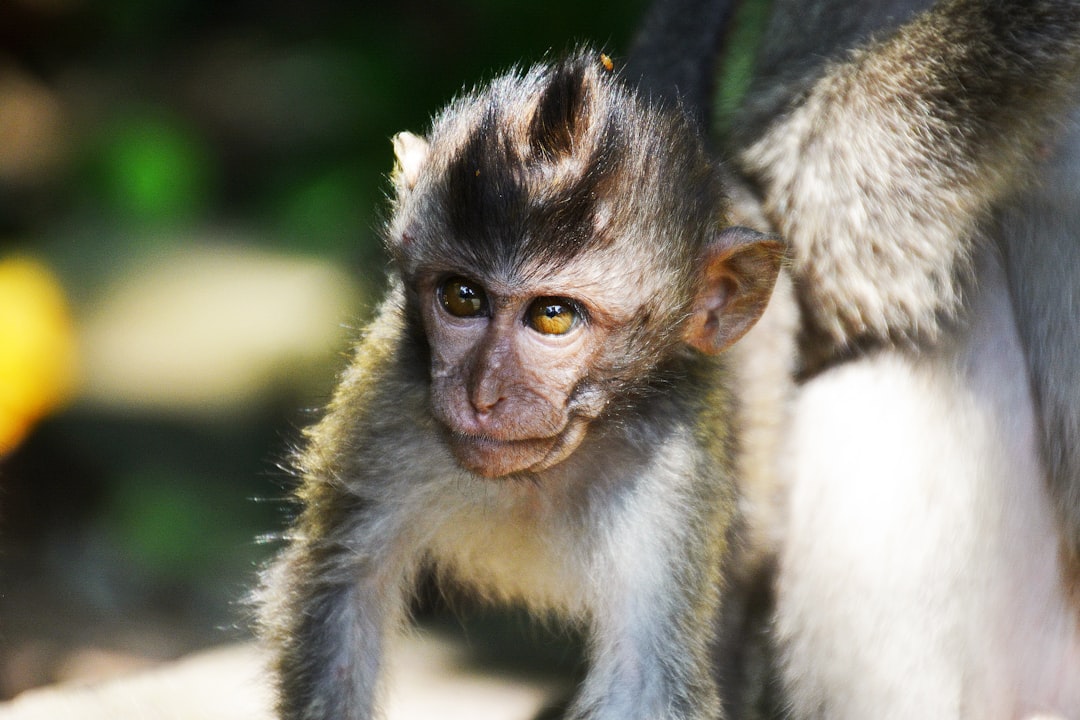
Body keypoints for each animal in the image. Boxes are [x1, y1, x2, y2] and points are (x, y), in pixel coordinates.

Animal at [261, 50, 786, 720]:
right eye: (462, 296)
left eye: (553, 316)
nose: (482, 395)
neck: (535, 481)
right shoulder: (387, 408)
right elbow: (342, 594)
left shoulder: (673, 469)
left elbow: (645, 678)